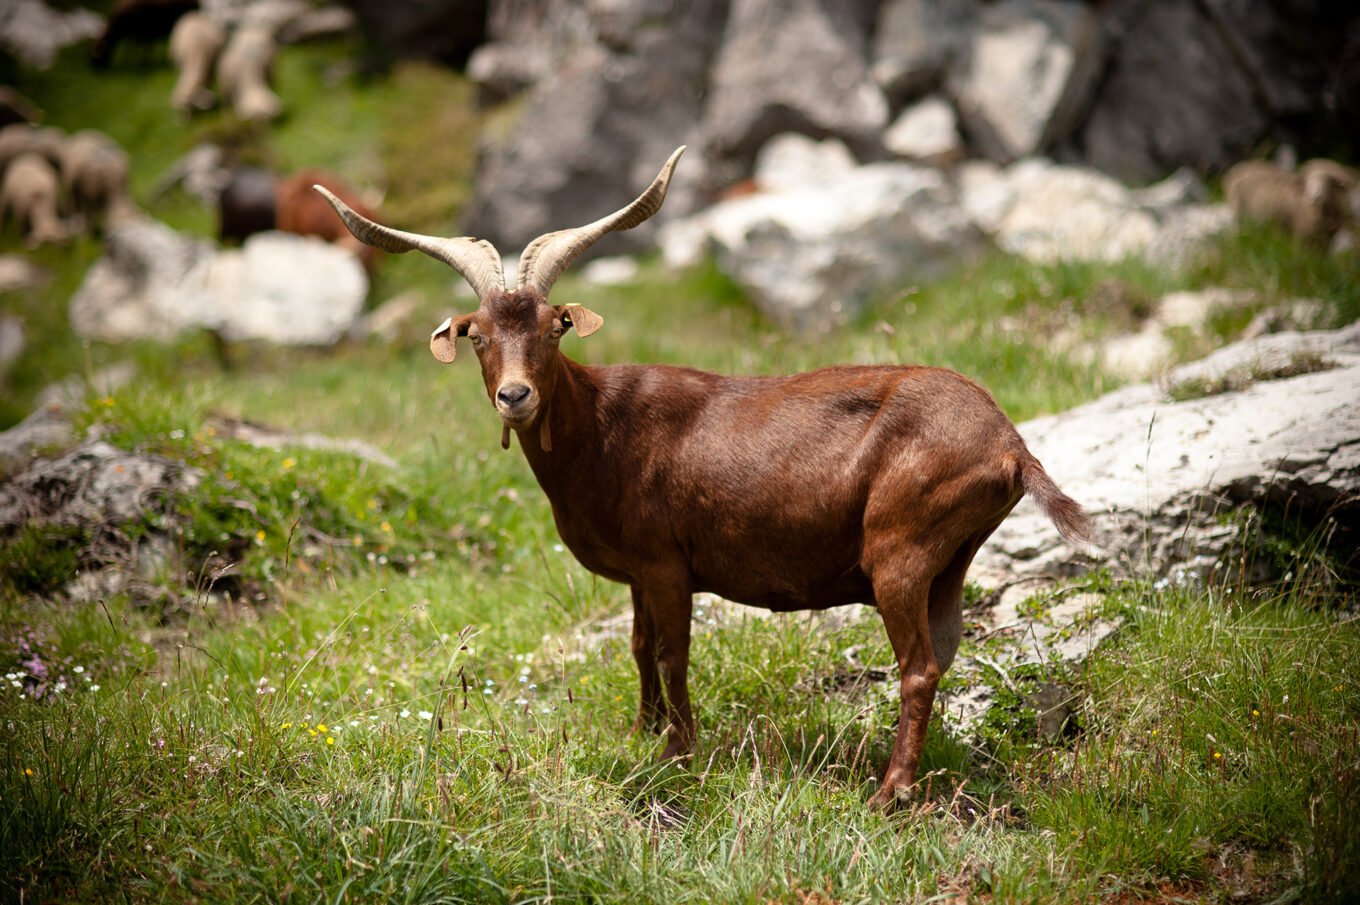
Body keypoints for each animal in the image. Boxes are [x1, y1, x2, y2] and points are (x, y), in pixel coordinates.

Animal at [312, 149, 1088, 811]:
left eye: (555, 326)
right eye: (476, 333)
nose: (515, 396)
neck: (601, 428)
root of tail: (1011, 445)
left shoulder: (666, 562)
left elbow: (671, 651)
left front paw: (679, 754)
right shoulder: (635, 570)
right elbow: (636, 647)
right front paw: (642, 734)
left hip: (899, 545)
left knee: (919, 665)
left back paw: (888, 793)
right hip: (949, 559)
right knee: (942, 652)